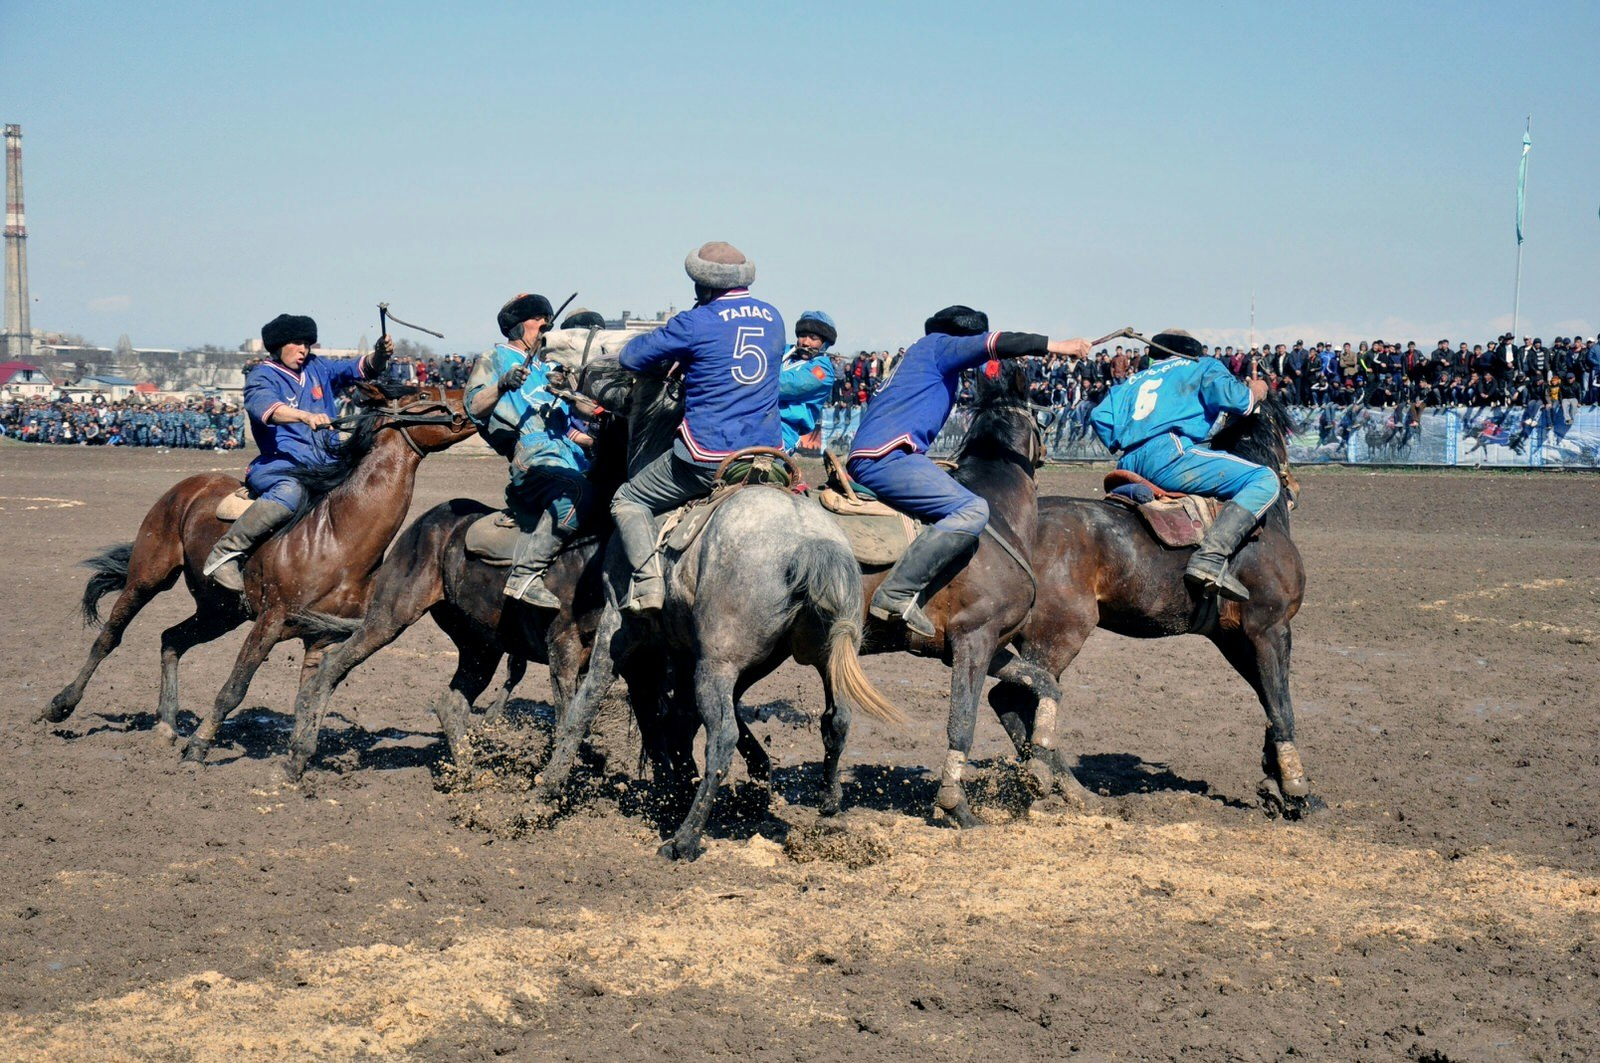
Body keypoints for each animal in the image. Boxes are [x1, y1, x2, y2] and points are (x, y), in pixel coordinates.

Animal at [40, 379, 476, 755]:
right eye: (424, 393)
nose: (472, 398)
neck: (338, 535)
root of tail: (189, 486)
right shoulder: (270, 621)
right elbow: (235, 687)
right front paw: (199, 747)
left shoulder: (320, 638)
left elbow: (308, 698)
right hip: (147, 579)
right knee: (109, 638)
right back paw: (60, 704)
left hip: (219, 611)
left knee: (171, 640)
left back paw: (165, 724)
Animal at [985, 393, 1312, 816]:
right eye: (1284, 431)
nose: (1295, 486)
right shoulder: (1269, 629)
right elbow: (1281, 704)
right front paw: (1295, 787)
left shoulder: (1235, 638)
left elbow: (1268, 701)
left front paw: (1274, 780)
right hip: (1057, 635)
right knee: (1019, 696)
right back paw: (1059, 785)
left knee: (1012, 700)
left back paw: (1071, 790)